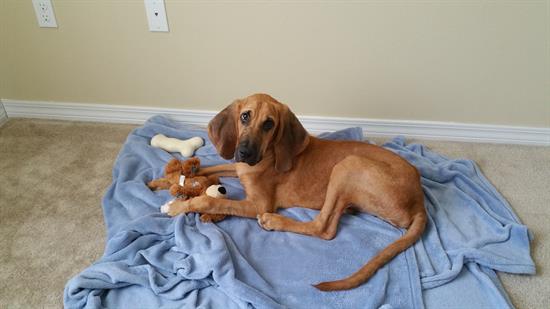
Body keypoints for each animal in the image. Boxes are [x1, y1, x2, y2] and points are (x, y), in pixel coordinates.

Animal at [166, 92, 430, 290]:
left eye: (269, 124)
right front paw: (183, 174)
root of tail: (419, 200)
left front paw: (179, 205)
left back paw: (274, 221)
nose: (245, 153)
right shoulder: (237, 167)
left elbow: (210, 202)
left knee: (323, 228)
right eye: (244, 116)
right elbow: (211, 166)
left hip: (348, 165)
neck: (269, 154)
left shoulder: (259, 203)